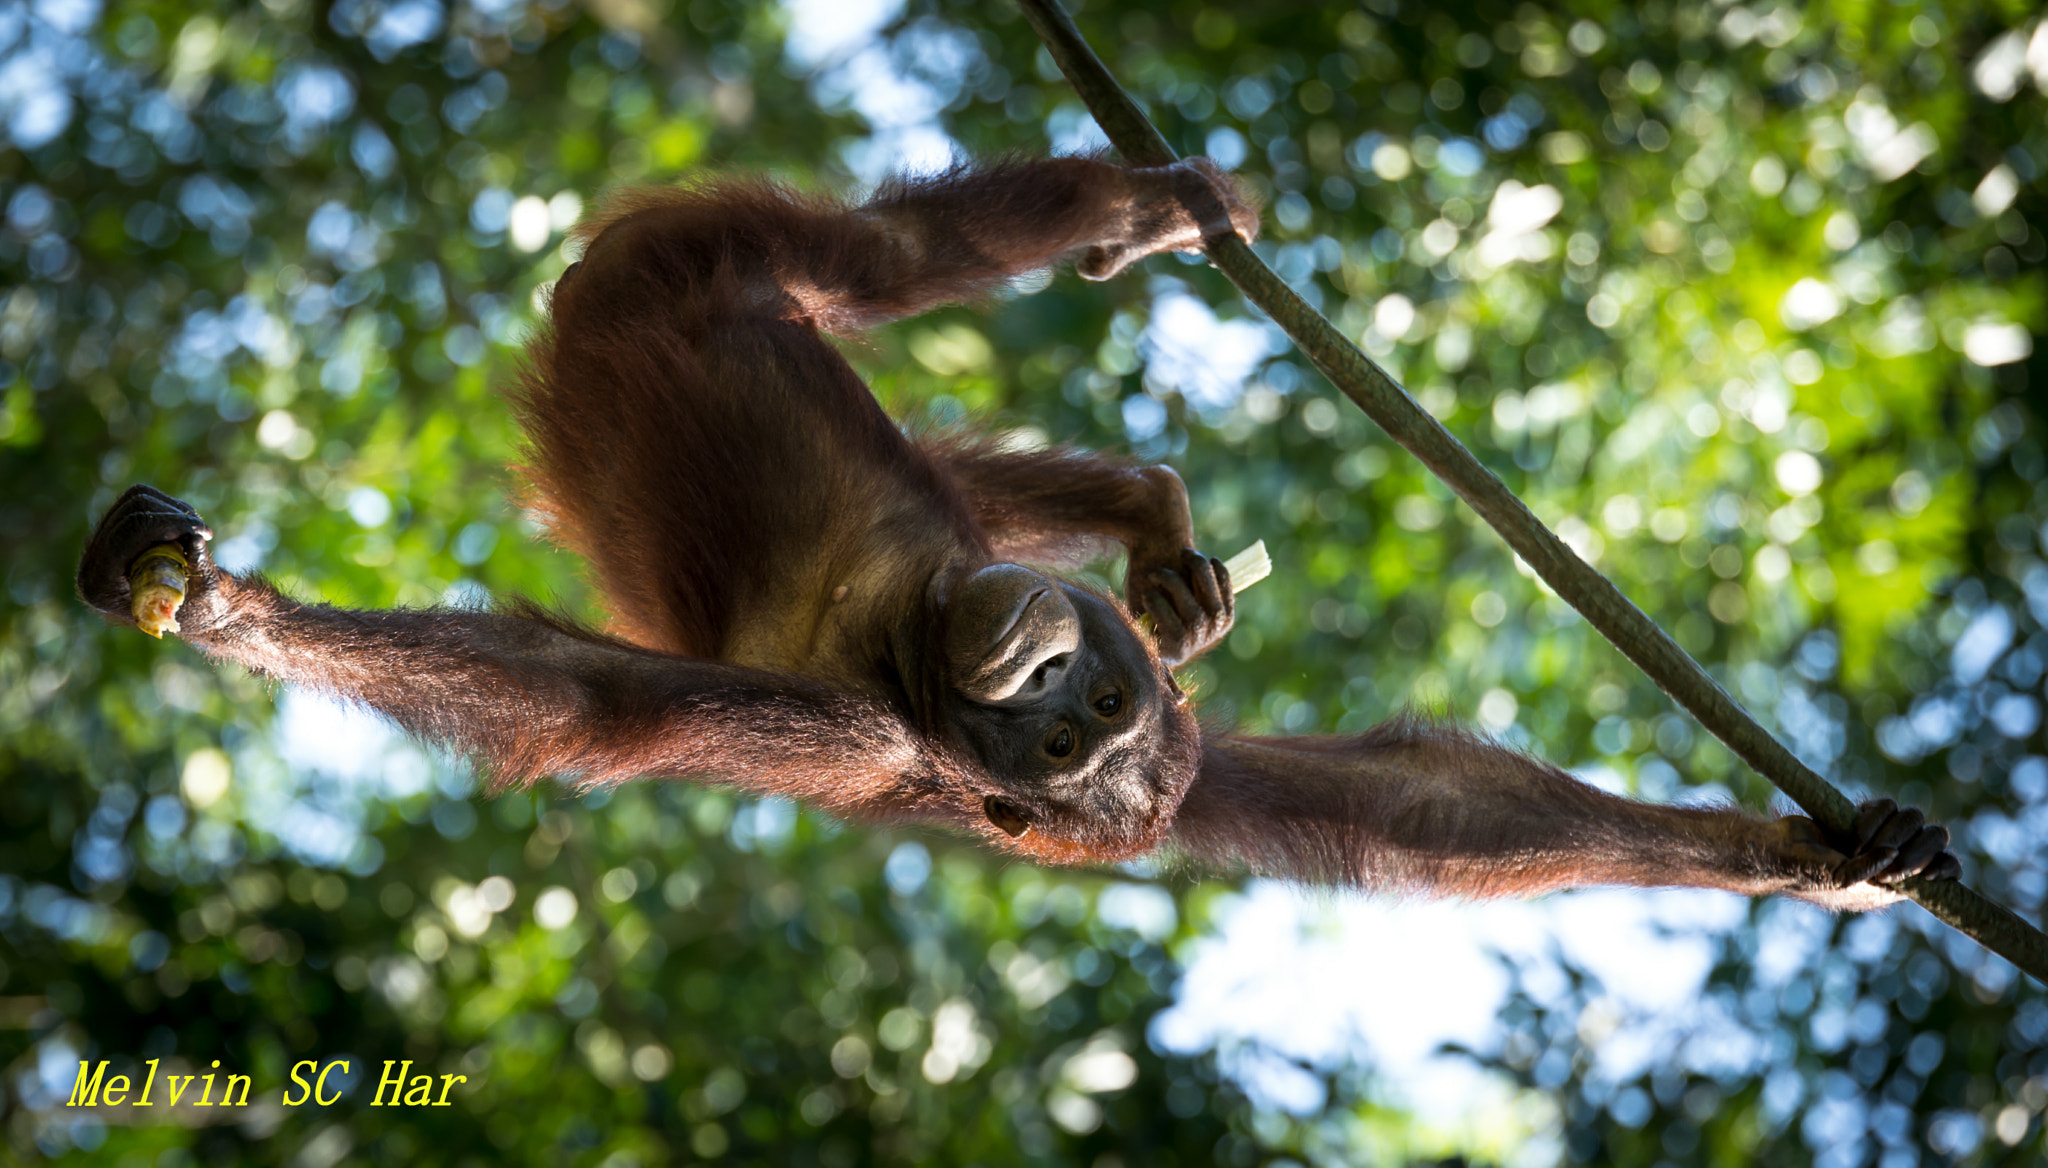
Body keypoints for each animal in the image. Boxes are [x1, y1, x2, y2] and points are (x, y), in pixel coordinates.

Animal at [78, 155, 1959, 910]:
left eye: (1075, 743)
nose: (1057, 688)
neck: (914, 646)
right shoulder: (940, 716)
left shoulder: (938, 757)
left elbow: (1422, 815)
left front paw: (1815, 860)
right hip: (706, 267)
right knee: (900, 271)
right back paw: (1153, 249)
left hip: (665, 273)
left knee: (888, 305)